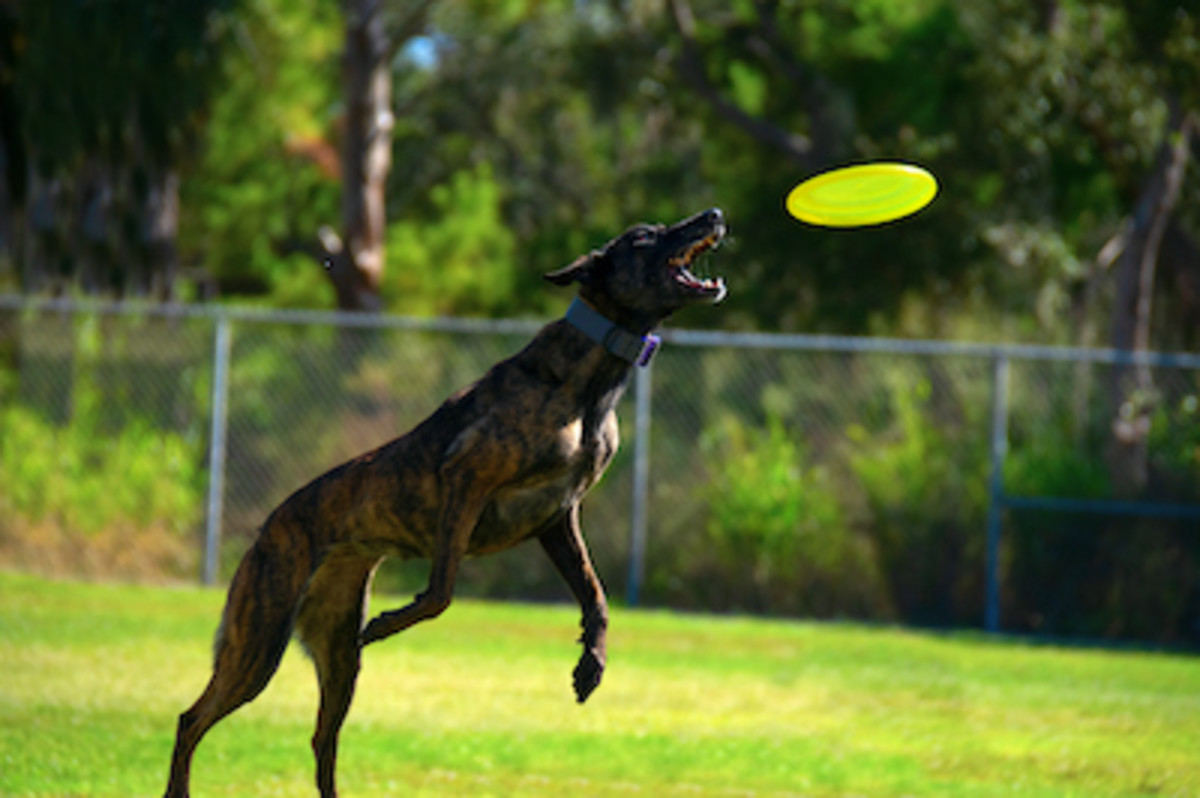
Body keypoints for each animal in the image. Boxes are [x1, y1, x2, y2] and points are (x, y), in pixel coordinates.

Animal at [166, 206, 729, 796]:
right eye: (643, 237)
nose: (714, 214)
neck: (588, 383)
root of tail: (268, 528)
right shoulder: (467, 480)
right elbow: (441, 592)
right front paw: (388, 622)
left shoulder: (557, 518)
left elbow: (595, 596)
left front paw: (590, 665)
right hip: (258, 643)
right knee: (192, 719)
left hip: (337, 659)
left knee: (321, 742)